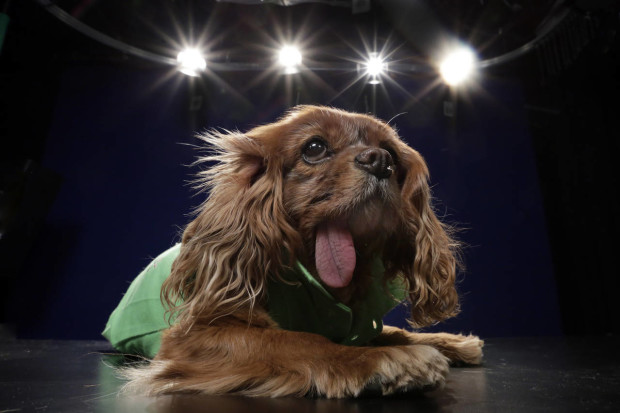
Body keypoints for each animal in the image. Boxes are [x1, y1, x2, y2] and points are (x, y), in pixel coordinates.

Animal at [120, 105, 480, 396]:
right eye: (315, 147)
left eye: (389, 150)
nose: (380, 161)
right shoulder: (193, 336)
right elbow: (297, 340)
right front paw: (379, 359)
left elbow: (393, 331)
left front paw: (449, 342)